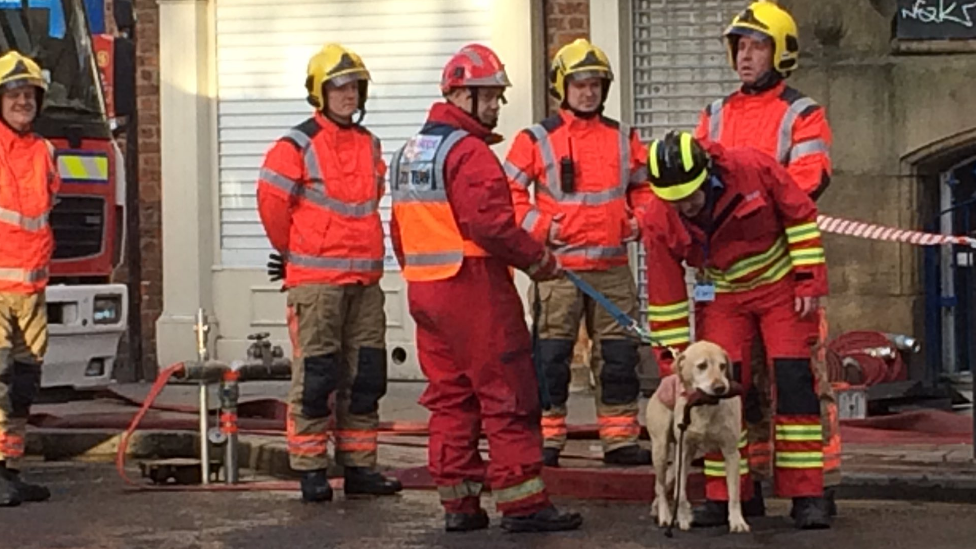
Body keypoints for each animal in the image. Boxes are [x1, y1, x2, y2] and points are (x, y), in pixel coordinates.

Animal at [648, 340, 748, 532]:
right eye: (702, 366)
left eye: (722, 366)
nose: (720, 388)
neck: (705, 406)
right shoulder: (683, 451)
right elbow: (680, 493)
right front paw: (683, 518)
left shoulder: (732, 453)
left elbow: (734, 494)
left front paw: (737, 521)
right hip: (661, 451)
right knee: (662, 486)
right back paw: (665, 516)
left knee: (662, 486)